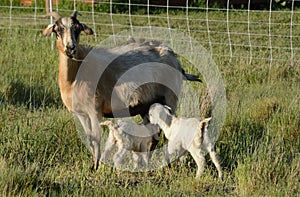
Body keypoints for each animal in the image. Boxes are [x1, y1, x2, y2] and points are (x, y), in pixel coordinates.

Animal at [42, 10, 202, 169]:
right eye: (58, 29)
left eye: (77, 28)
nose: (70, 48)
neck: (74, 77)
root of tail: (173, 56)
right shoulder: (80, 113)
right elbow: (90, 140)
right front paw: (93, 165)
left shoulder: (95, 109)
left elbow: (97, 139)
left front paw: (96, 166)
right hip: (147, 105)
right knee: (152, 134)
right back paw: (146, 162)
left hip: (170, 97)